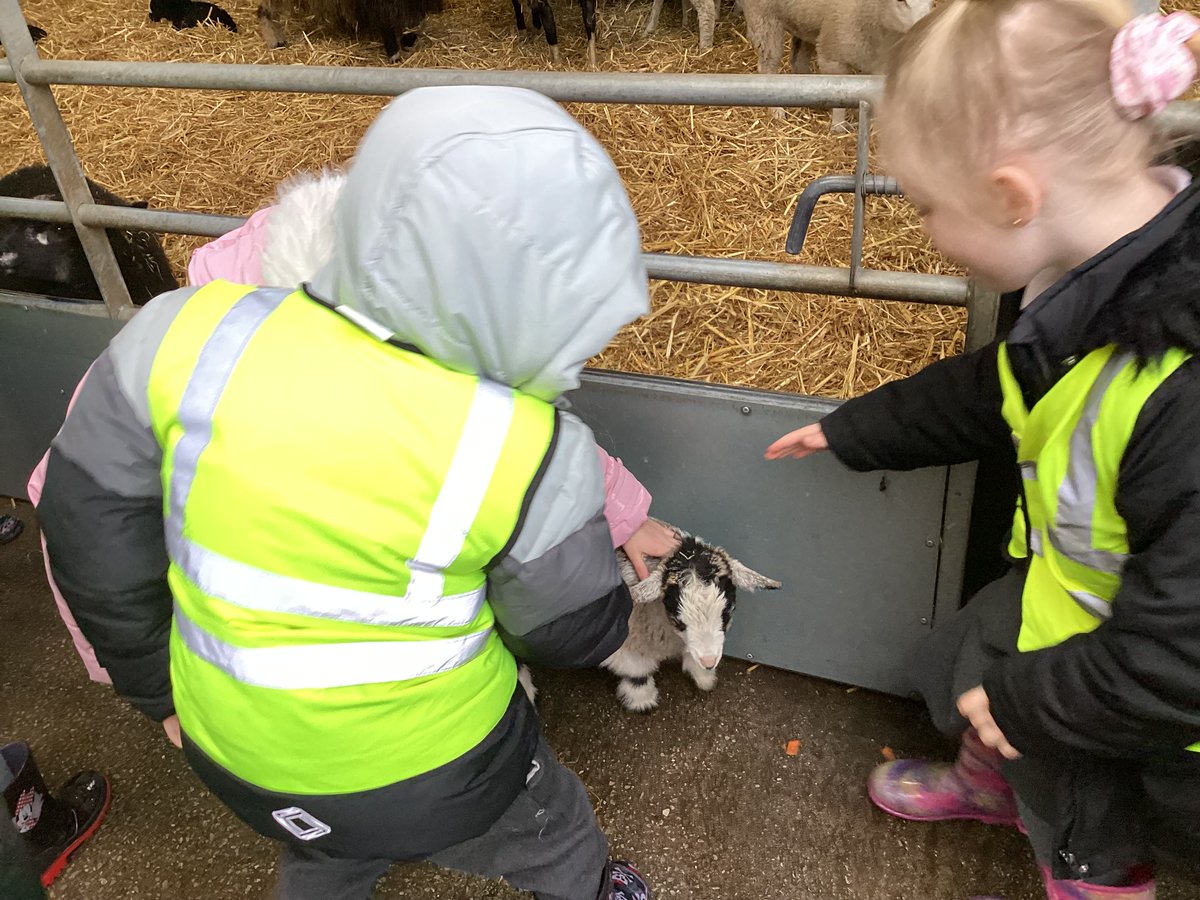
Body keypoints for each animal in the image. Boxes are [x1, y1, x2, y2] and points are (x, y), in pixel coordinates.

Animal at [744, 0, 931, 128]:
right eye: (901, 1)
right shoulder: (831, 56)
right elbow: (838, 96)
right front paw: (839, 127)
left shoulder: (876, 64)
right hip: (764, 18)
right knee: (768, 65)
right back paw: (777, 110)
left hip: (804, 23)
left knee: (798, 60)